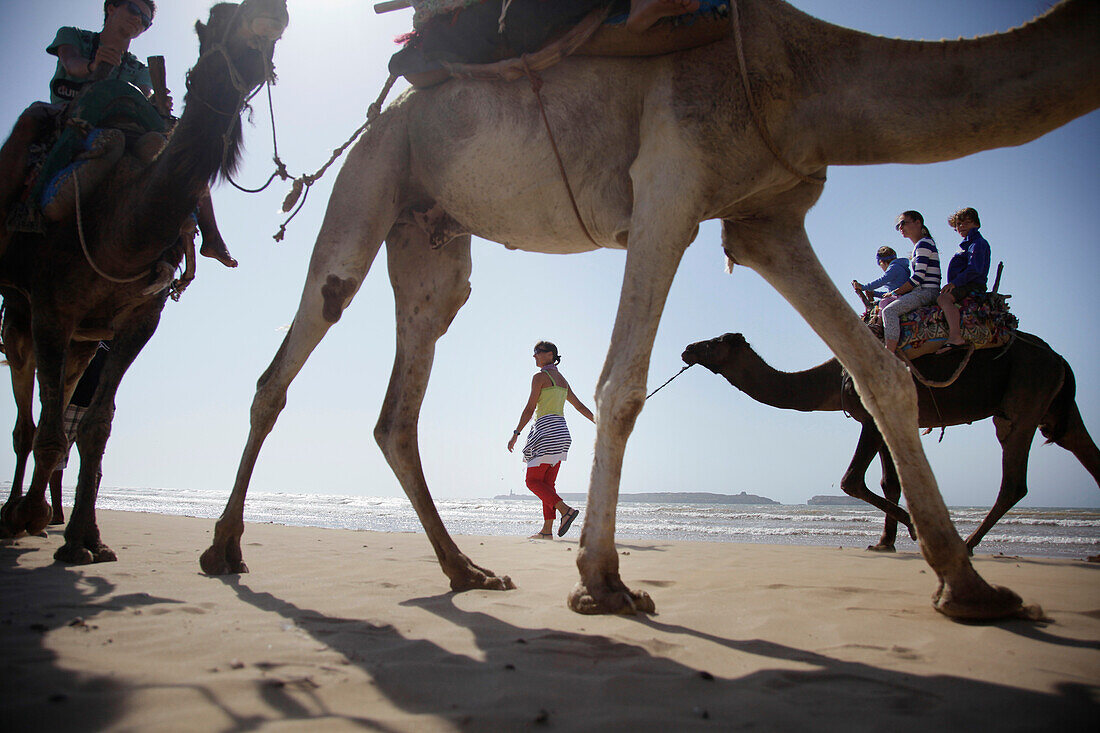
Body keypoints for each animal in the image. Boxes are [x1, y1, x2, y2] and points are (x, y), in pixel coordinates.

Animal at [0, 0, 292, 563]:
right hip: (20, 312)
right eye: (217, 17)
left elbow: (95, 426)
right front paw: (56, 532)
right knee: (28, 421)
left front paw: (85, 539)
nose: (271, 11)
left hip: (83, 337)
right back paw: (15, 517)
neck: (119, 221)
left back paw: (36, 515)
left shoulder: (139, 317)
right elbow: (49, 430)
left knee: (57, 408)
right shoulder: (49, 308)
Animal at [677, 330, 1100, 548]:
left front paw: (912, 529)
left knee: (1014, 479)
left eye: (714, 342)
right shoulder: (883, 420)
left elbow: (852, 480)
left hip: (1024, 396)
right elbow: (888, 481)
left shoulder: (870, 415)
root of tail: (1060, 359)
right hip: (1052, 405)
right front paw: (885, 541)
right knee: (1081, 448)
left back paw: (966, 544)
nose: (687, 348)